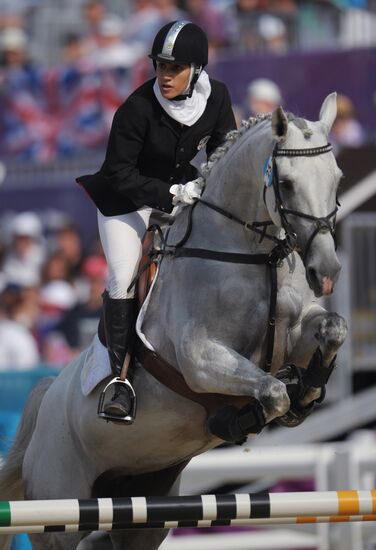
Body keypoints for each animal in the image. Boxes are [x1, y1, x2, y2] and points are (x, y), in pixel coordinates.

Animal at [0, 92, 346, 548]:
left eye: (338, 178)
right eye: (286, 183)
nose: (326, 272)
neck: (252, 254)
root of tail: (45, 399)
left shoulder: (297, 332)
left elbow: (333, 329)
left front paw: (308, 390)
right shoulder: (200, 358)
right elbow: (272, 393)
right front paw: (237, 417)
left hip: (144, 510)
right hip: (58, 514)